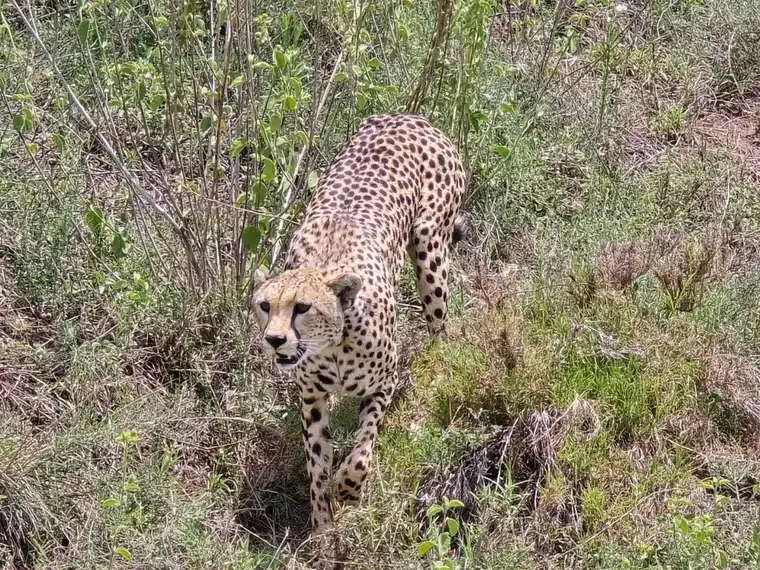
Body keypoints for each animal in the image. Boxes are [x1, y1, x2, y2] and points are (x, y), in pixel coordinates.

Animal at [253, 113, 466, 532]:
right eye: (265, 306)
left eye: (302, 308)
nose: (274, 339)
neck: (333, 346)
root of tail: (406, 116)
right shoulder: (311, 399)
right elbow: (317, 464)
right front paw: (322, 525)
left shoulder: (384, 382)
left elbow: (362, 449)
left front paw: (349, 489)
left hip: (429, 246)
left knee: (439, 326)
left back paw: (438, 369)